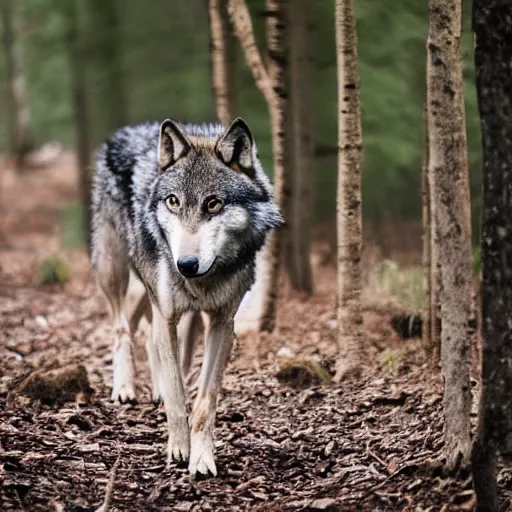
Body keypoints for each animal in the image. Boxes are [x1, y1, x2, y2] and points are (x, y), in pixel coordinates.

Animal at [91, 117, 284, 476]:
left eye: (213, 203)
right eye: (173, 201)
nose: (186, 265)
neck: (205, 278)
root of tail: (128, 130)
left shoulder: (222, 324)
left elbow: (205, 401)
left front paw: (202, 458)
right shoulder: (167, 314)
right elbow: (177, 395)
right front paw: (179, 449)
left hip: (163, 301)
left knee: (146, 336)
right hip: (117, 273)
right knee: (122, 328)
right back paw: (124, 388)